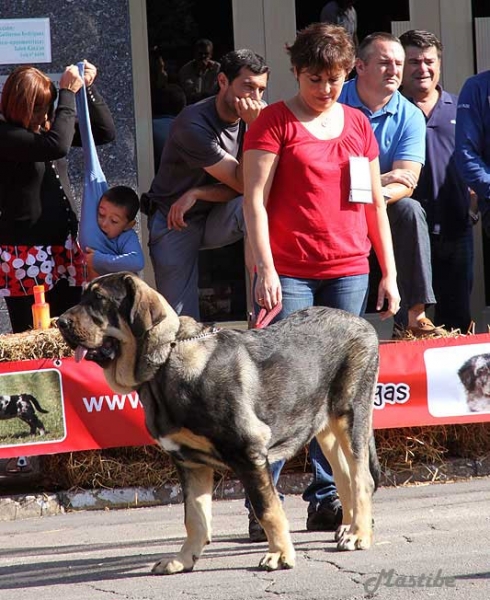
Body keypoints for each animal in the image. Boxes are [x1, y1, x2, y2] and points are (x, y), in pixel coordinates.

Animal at [56, 274, 378, 576]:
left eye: (99, 299)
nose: (59, 322)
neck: (166, 361)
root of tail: (364, 324)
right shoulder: (190, 463)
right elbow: (194, 517)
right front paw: (183, 560)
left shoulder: (248, 453)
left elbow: (267, 508)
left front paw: (279, 554)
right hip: (325, 428)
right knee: (345, 477)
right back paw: (348, 527)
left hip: (350, 417)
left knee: (362, 478)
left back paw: (358, 535)